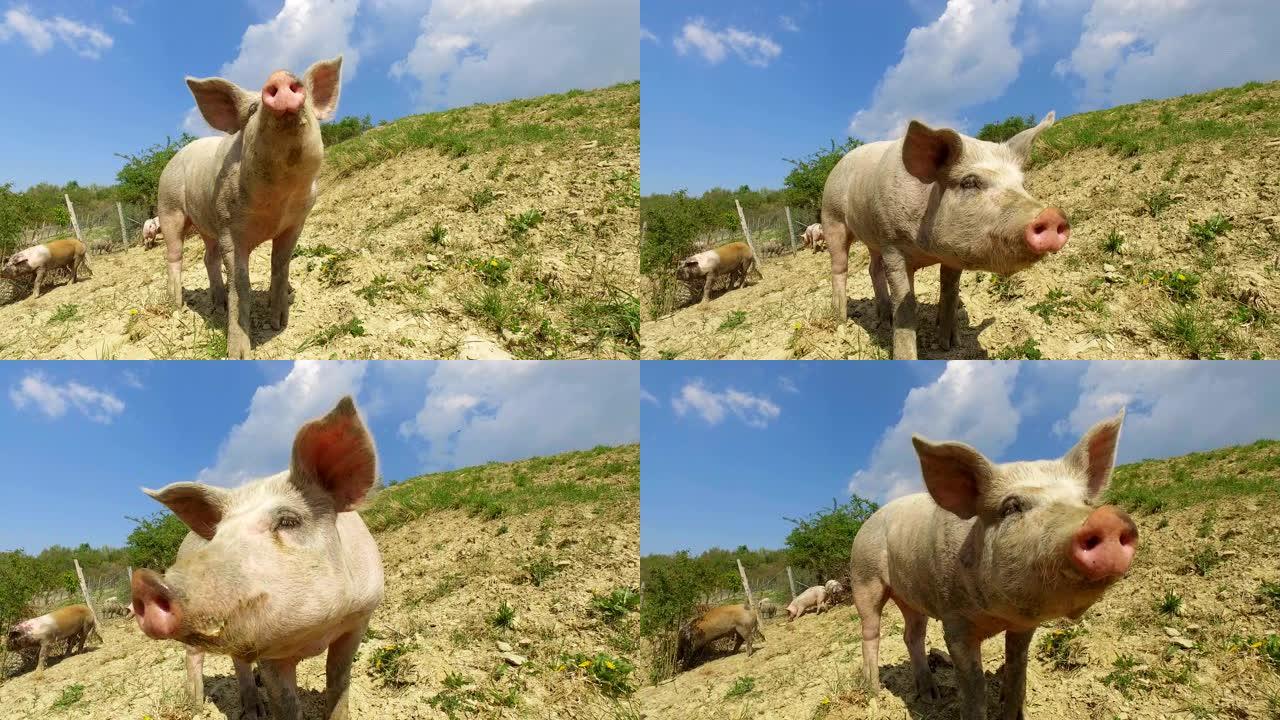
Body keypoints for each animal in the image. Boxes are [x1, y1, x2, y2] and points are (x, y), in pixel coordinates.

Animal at [135, 392, 386, 717]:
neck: (316, 633)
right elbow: (287, 705)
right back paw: (202, 706)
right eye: (219, 534)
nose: (145, 582)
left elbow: (338, 681)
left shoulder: (359, 619)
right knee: (197, 657)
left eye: (288, 521)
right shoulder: (268, 649)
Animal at [156, 55, 343, 356]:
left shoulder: (296, 221)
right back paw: (176, 305)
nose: (279, 75)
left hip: (207, 223)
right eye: (253, 110)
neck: (278, 199)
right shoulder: (229, 227)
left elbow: (280, 264)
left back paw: (218, 304)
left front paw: (278, 322)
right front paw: (239, 354)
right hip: (169, 207)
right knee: (174, 256)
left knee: (209, 258)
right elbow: (240, 285)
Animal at [819, 113, 1070, 356]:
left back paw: (884, 320)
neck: (927, 248)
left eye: (1022, 184)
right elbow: (906, 307)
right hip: (832, 217)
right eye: (969, 182)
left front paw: (950, 344)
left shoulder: (953, 255)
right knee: (840, 267)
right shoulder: (892, 243)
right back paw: (840, 319)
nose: (1052, 215)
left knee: (873, 269)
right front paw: (906, 355)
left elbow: (949, 293)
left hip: (872, 238)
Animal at [849, 409, 1141, 717]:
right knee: (871, 630)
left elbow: (1017, 673)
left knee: (912, 635)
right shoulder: (954, 619)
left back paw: (931, 696)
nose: (1107, 518)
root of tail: (865, 523)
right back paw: (873, 691)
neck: (998, 614)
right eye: (1011, 507)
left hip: (911, 595)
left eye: (1085, 501)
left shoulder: (1024, 627)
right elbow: (974, 687)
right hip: (864, 576)